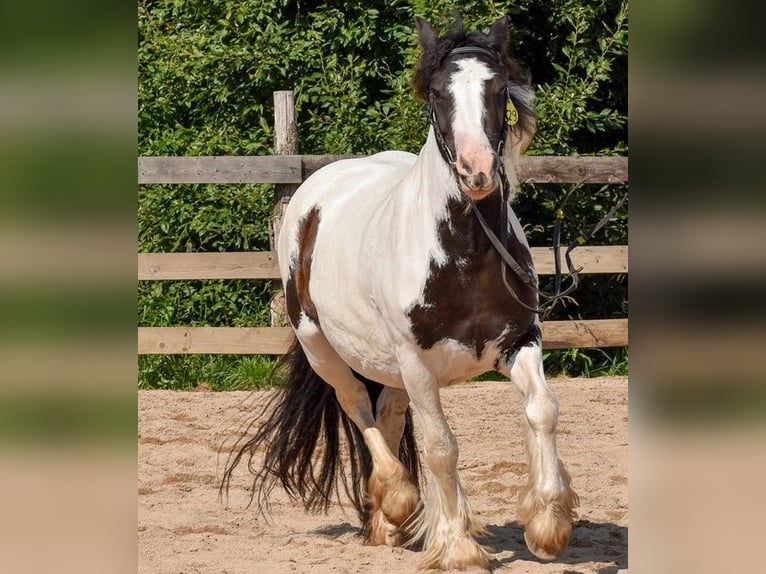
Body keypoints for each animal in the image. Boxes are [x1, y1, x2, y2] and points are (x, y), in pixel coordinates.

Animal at [225, 15, 580, 572]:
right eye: (436, 93)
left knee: (389, 416)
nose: (477, 171)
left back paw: (388, 523)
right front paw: (458, 547)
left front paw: (547, 527)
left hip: (388, 363)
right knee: (356, 405)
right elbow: (440, 447)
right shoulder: (416, 360)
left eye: (500, 88)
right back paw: (395, 498)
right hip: (322, 345)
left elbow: (543, 409)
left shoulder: (519, 340)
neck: (463, 254)